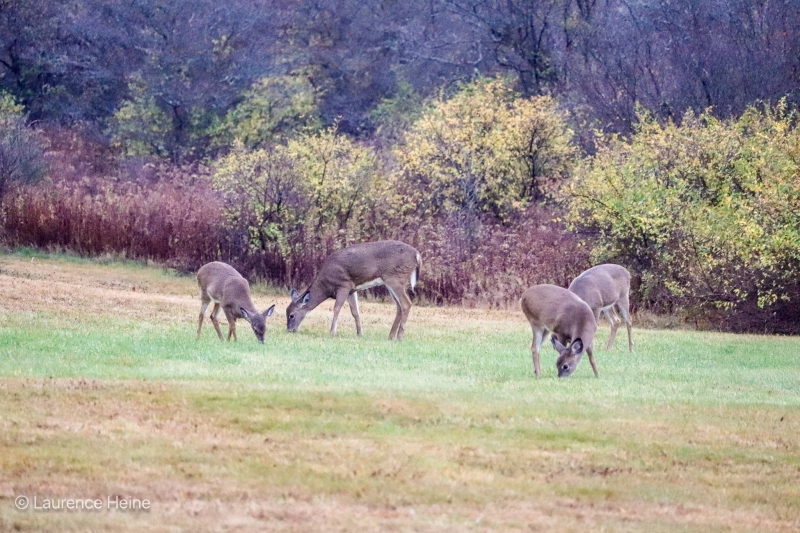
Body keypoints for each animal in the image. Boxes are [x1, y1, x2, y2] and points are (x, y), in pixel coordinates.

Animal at [286, 240, 422, 340]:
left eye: (292, 315)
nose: (290, 330)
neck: (326, 286)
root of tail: (417, 254)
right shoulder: (352, 290)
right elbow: (355, 312)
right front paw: (360, 333)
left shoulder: (344, 284)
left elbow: (337, 308)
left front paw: (332, 332)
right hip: (390, 282)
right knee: (399, 306)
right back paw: (390, 336)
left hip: (395, 278)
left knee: (406, 303)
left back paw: (399, 337)